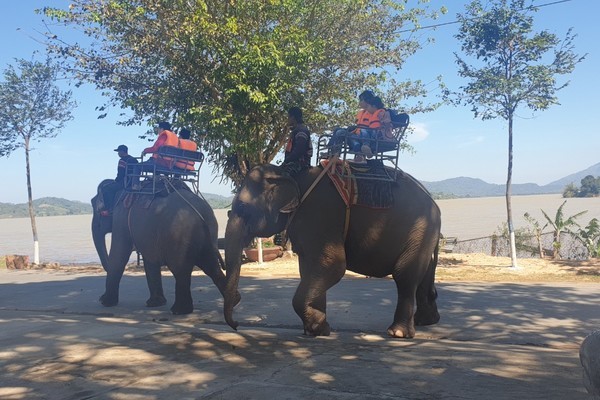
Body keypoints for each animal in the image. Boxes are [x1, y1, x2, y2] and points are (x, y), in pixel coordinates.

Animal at [91, 179, 237, 316]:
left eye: (96, 209)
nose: (100, 298)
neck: (121, 187)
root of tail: (201, 211)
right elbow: (149, 260)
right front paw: (155, 303)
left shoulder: (121, 218)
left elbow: (119, 255)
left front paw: (104, 302)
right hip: (208, 236)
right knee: (211, 267)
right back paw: (235, 301)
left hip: (178, 235)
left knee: (181, 271)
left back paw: (179, 311)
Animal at [225, 162, 440, 338]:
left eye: (242, 207)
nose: (237, 325)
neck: (292, 174)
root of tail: (433, 201)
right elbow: (310, 269)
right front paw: (318, 329)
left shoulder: (320, 214)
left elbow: (333, 266)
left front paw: (315, 328)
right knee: (424, 273)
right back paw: (426, 321)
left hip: (420, 228)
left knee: (405, 274)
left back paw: (398, 333)